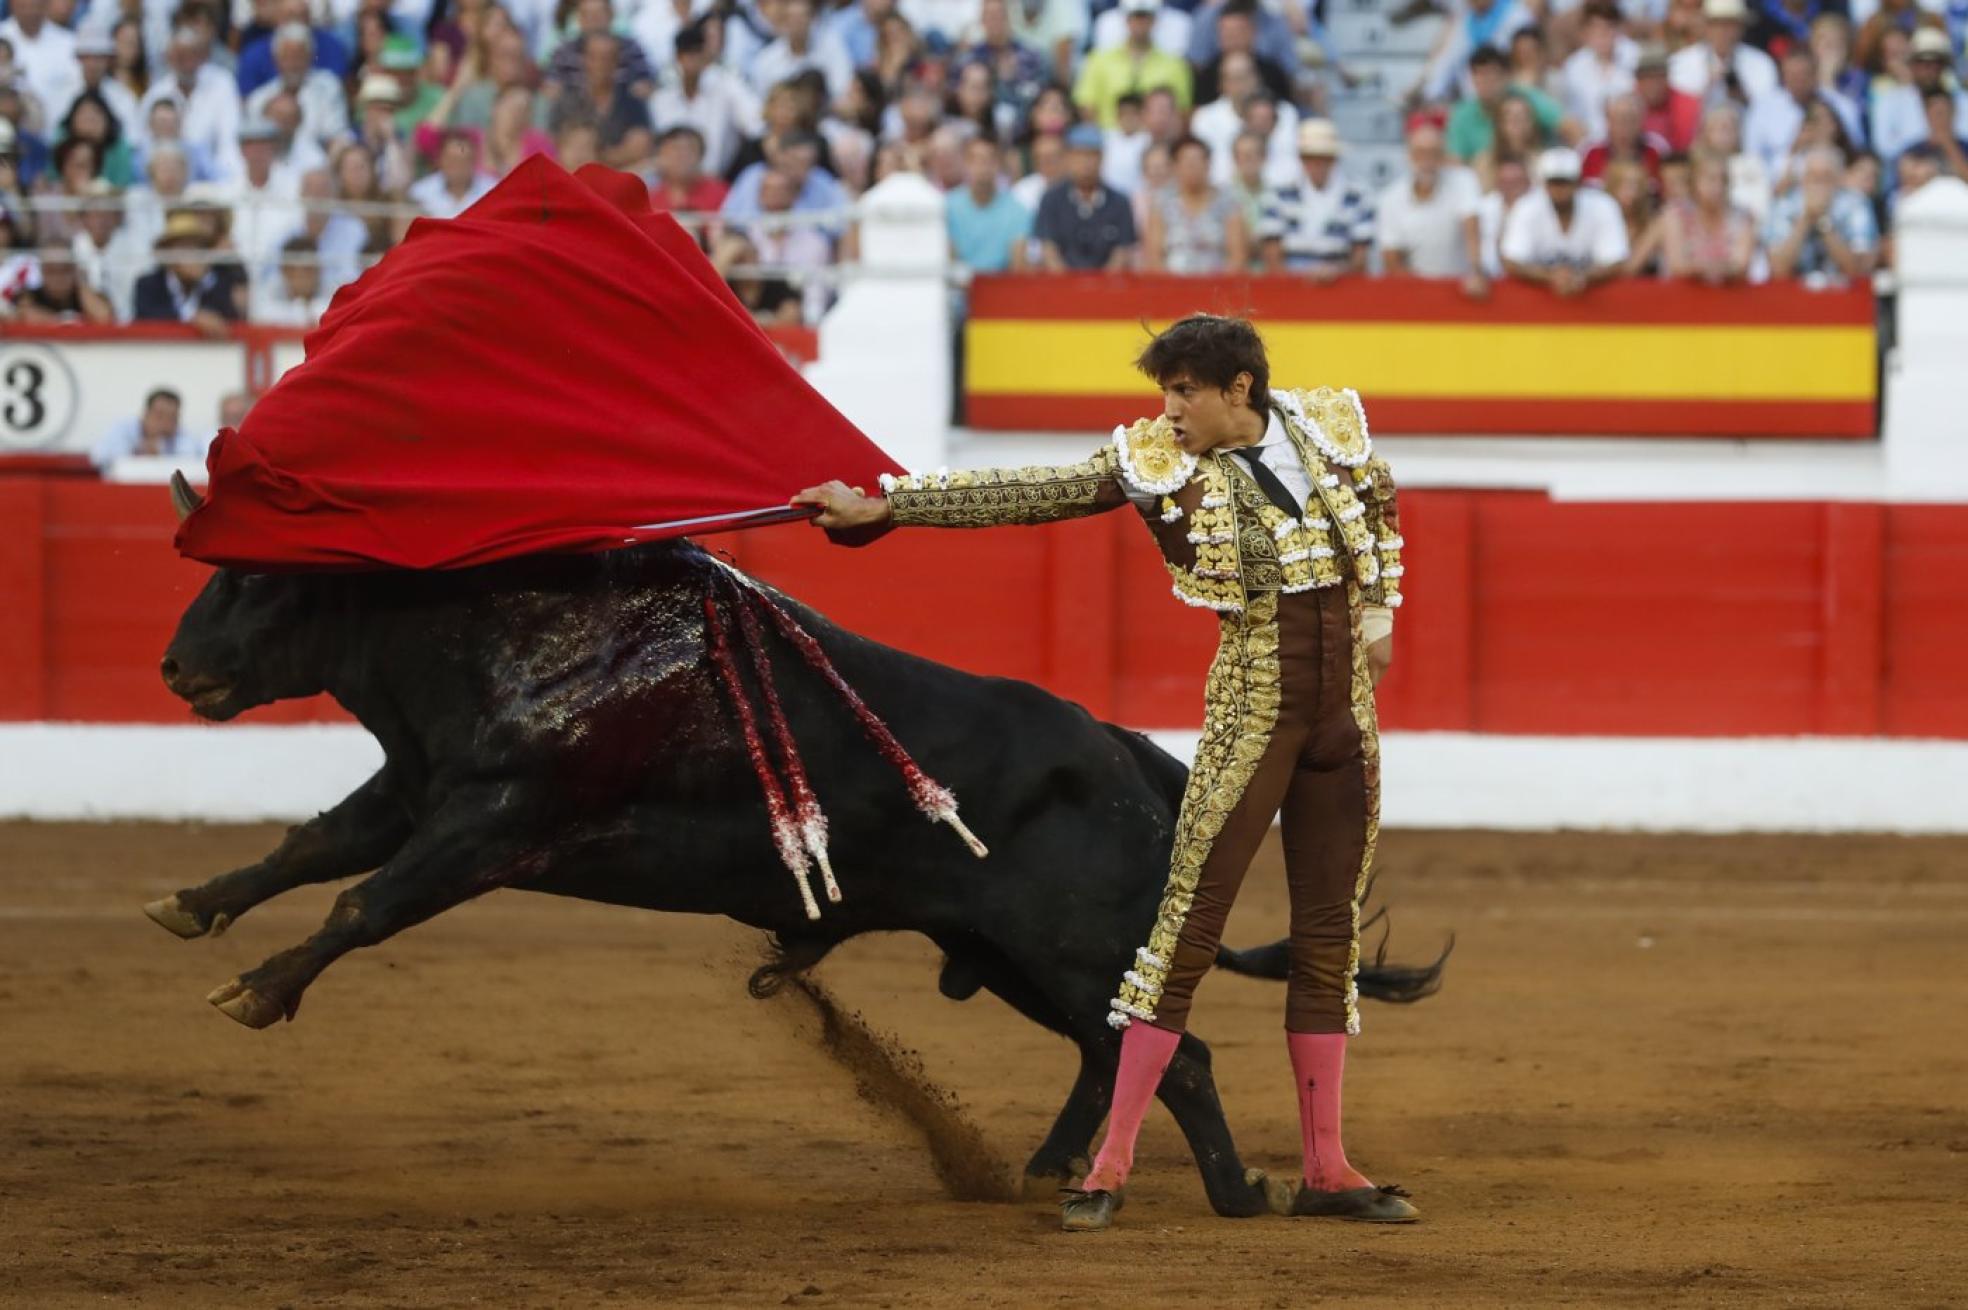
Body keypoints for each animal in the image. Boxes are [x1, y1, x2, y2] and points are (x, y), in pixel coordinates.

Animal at [145, 531, 1448, 1211]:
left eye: (257, 576)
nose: (175, 665)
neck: (504, 631)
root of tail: (1135, 753)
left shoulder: (488, 820)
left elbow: (366, 899)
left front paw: (257, 990)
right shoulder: (420, 789)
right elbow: (313, 845)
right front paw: (190, 907)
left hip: (1066, 949)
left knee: (1176, 1055)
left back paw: (1225, 1191)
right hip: (1016, 955)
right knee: (1111, 1049)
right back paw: (1044, 1168)